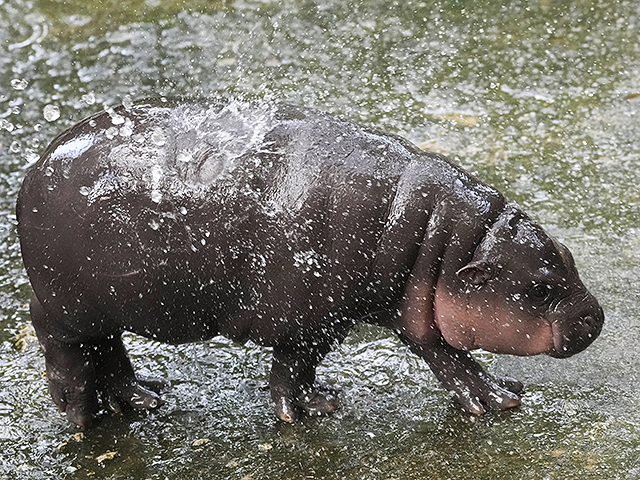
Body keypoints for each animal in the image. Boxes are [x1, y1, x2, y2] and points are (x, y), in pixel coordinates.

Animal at [16, 97, 604, 428]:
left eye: (568, 256)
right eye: (542, 286)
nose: (596, 316)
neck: (441, 242)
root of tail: (35, 168)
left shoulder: (405, 310)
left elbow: (446, 357)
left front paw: (501, 395)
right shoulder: (311, 318)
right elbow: (293, 368)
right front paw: (312, 410)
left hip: (103, 308)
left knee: (109, 350)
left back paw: (144, 398)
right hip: (67, 306)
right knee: (64, 346)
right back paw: (82, 416)